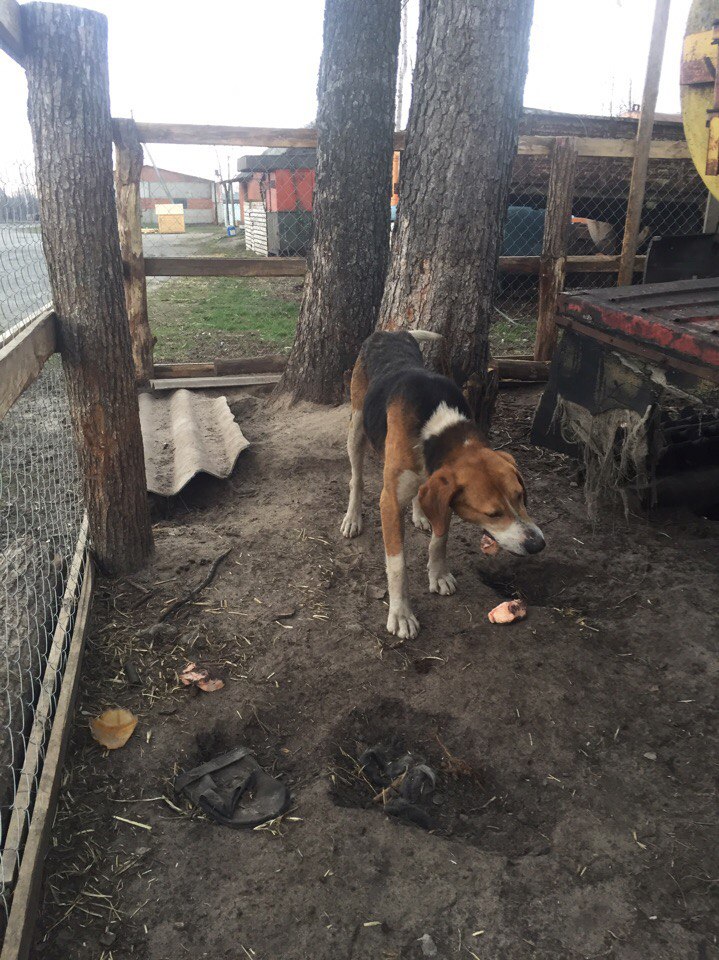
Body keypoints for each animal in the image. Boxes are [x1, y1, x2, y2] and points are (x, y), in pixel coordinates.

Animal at [340, 330, 544, 636]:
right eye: (492, 514)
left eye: (521, 496)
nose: (537, 545)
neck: (438, 428)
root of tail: (390, 332)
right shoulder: (389, 501)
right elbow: (397, 565)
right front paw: (401, 614)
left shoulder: (444, 496)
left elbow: (440, 540)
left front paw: (438, 575)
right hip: (356, 427)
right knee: (357, 479)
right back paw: (353, 518)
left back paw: (420, 514)